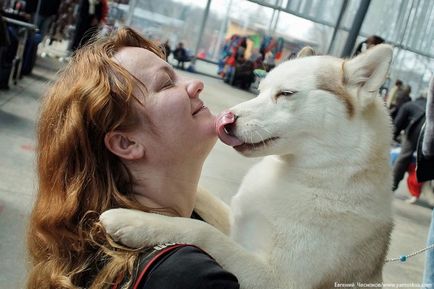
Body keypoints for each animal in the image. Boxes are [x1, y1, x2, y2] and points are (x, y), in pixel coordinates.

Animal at [101, 44, 394, 288]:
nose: (226, 119)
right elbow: (205, 200)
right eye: (260, 91)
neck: (300, 176)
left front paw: (135, 221)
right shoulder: (235, 221)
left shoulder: (277, 280)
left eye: (286, 94)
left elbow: (203, 232)